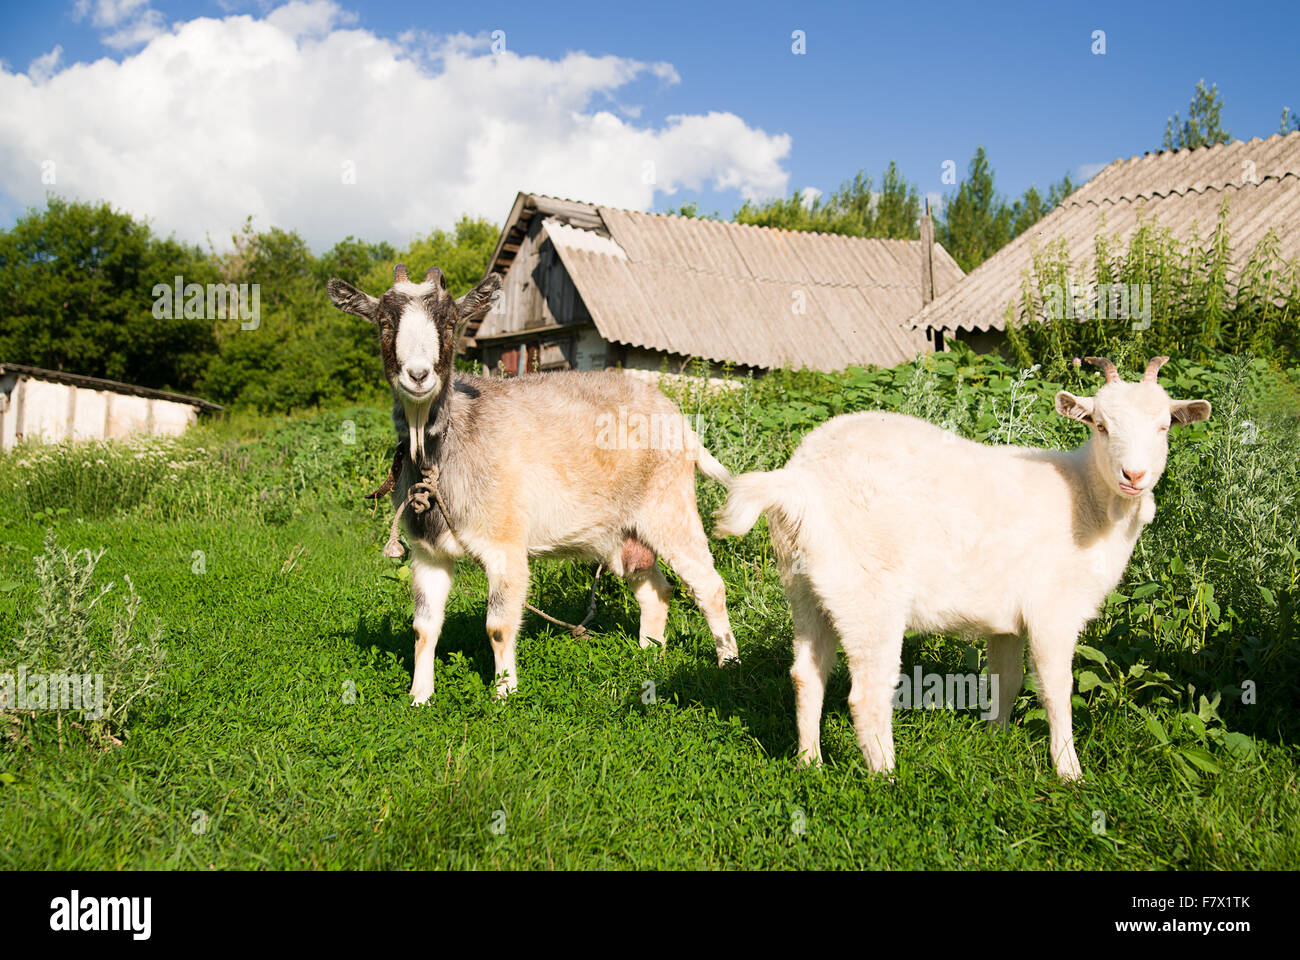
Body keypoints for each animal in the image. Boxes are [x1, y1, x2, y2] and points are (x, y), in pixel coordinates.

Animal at [717, 356, 1211, 775]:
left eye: (1164, 426)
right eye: (1101, 426)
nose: (1134, 476)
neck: (1086, 499)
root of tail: (798, 482)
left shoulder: (1008, 619)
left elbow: (1006, 679)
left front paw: (996, 736)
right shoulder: (1053, 611)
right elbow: (1056, 689)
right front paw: (1068, 770)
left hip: (806, 587)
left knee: (807, 673)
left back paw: (809, 761)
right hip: (869, 595)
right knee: (867, 693)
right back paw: (885, 775)